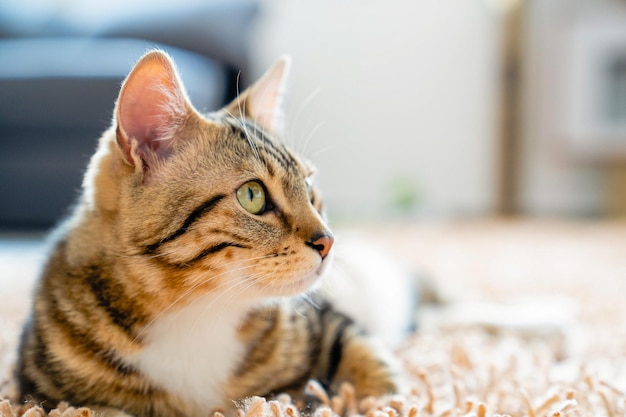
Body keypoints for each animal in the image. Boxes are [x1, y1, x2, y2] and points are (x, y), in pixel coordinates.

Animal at [15, 50, 410, 414]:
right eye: (252, 195)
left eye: (309, 188)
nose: (328, 241)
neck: (196, 313)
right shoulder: (42, 390)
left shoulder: (328, 321)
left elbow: (374, 363)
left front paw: (385, 399)